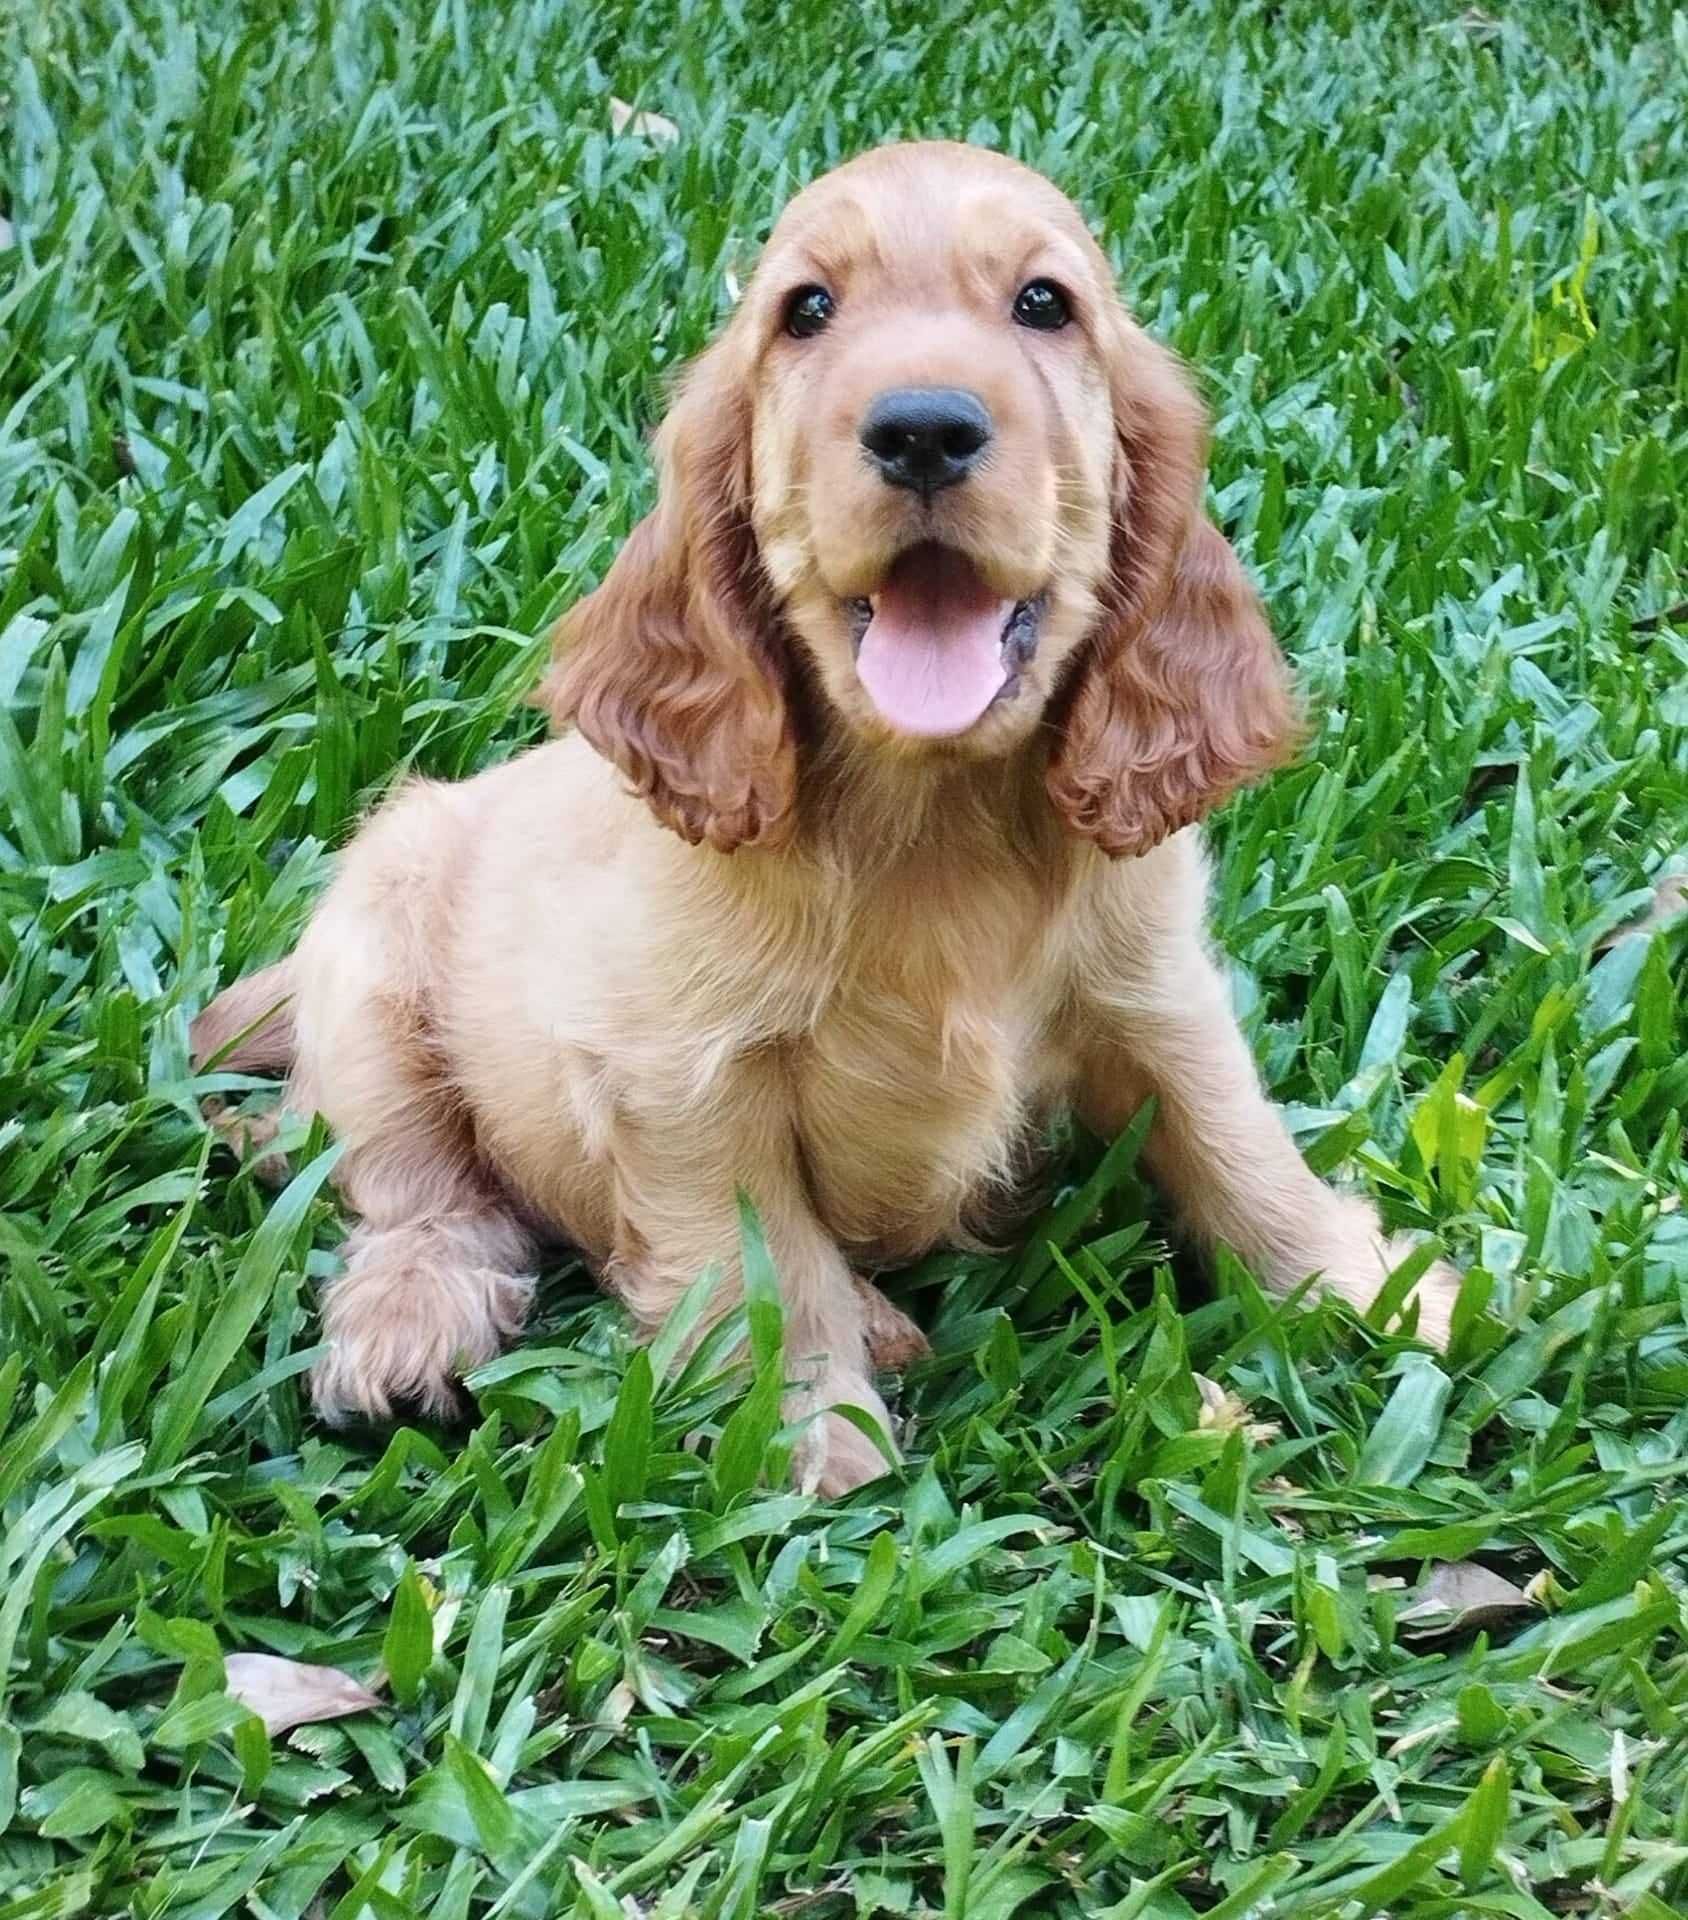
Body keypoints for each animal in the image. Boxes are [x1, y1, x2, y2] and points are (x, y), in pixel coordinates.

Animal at [194, 145, 1467, 1497]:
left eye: (1043, 303)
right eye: (805, 310)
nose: (923, 429)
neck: (929, 814)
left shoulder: (1155, 990)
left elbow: (1234, 1143)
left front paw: (1369, 1286)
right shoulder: (683, 1074)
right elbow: (759, 1264)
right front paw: (812, 1437)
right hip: (376, 970)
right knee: (410, 1183)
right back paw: (411, 1324)